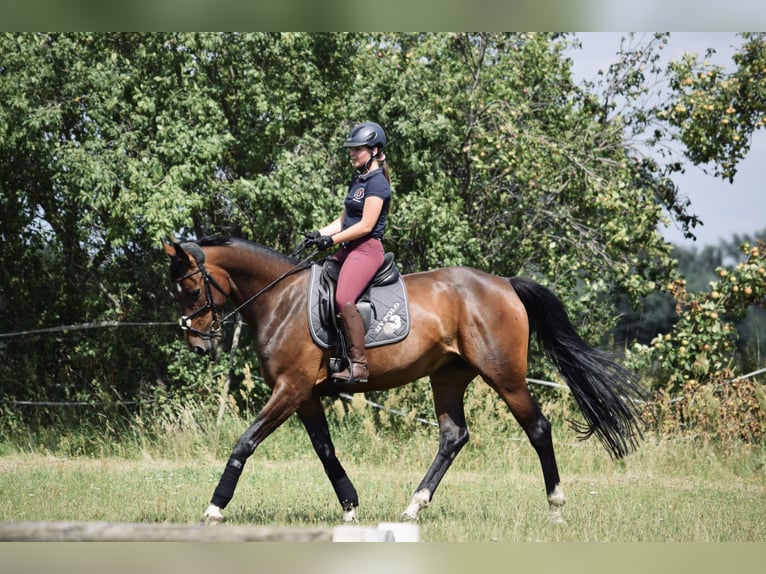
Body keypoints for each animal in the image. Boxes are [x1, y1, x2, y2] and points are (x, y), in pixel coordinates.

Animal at [165, 237, 644, 528]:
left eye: (190, 288)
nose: (197, 345)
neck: (280, 299)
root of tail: (505, 284)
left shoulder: (290, 389)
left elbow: (244, 443)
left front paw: (214, 508)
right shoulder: (304, 395)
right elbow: (325, 450)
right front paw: (350, 507)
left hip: (504, 375)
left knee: (538, 428)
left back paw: (556, 508)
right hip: (448, 376)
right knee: (453, 436)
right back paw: (413, 506)